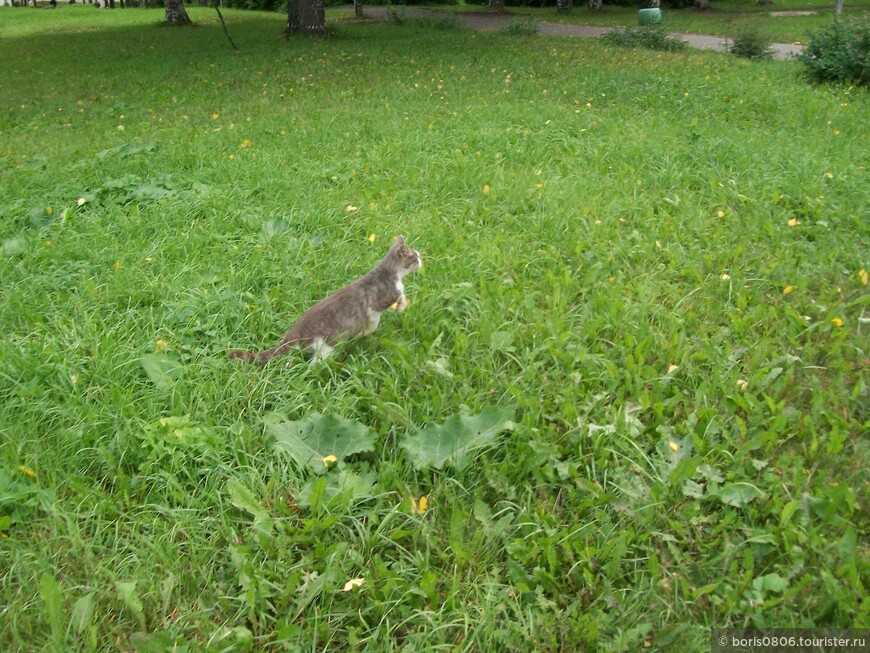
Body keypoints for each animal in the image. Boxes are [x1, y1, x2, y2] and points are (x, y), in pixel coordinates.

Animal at [228, 237, 422, 364]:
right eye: (415, 257)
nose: (422, 260)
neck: (392, 273)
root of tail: (296, 330)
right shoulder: (377, 303)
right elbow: (375, 320)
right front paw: (365, 332)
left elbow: (400, 297)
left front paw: (401, 306)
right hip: (327, 344)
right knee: (315, 364)